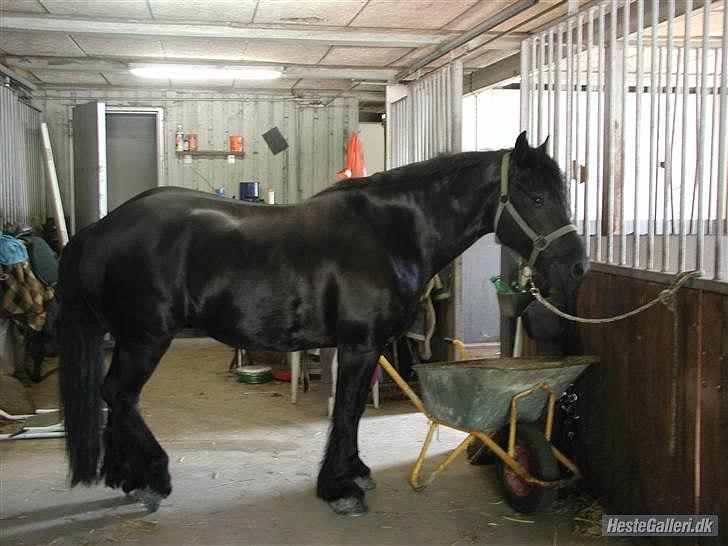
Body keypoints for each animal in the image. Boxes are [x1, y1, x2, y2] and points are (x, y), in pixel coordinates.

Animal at [59, 132, 588, 516]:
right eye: (536, 197)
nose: (578, 268)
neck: (392, 233)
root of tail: (100, 228)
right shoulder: (358, 346)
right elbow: (346, 410)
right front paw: (340, 489)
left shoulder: (366, 349)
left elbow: (350, 413)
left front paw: (353, 473)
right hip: (145, 338)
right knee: (119, 395)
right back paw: (154, 479)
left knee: (117, 398)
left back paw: (128, 479)